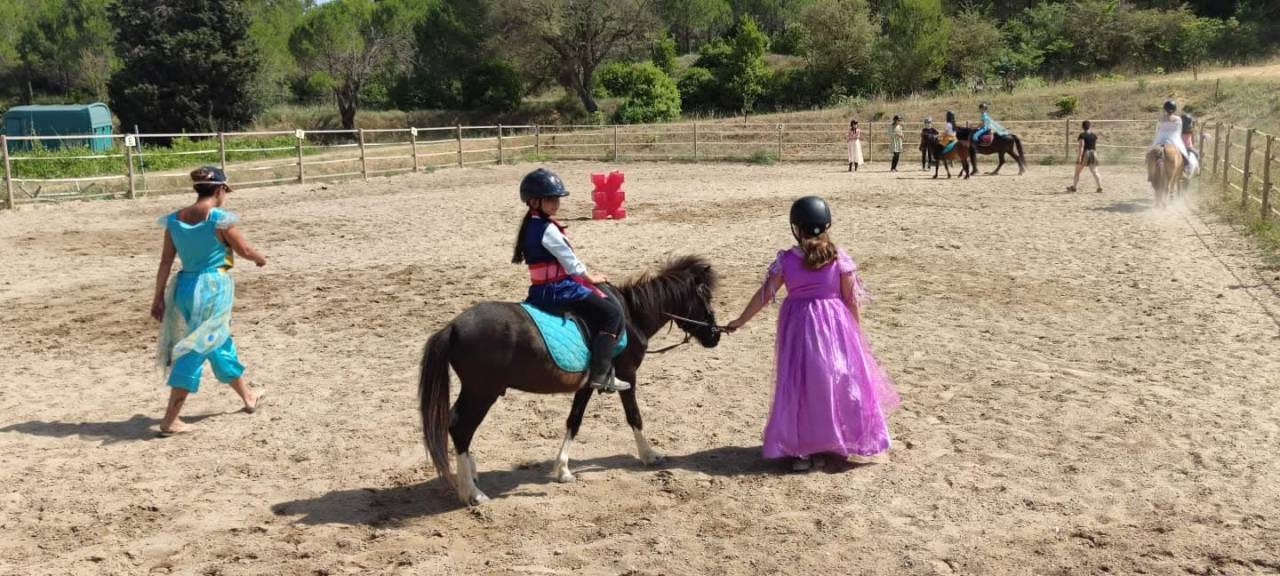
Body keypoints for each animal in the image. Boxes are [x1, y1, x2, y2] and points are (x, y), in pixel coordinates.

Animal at [418, 256, 722, 505]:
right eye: (705, 297)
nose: (715, 335)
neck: (632, 316)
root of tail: (452, 327)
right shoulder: (628, 375)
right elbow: (634, 416)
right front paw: (650, 455)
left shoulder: (588, 384)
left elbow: (573, 421)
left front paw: (562, 469)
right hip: (482, 392)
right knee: (461, 427)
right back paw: (473, 493)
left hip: (476, 391)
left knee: (456, 423)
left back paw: (471, 476)